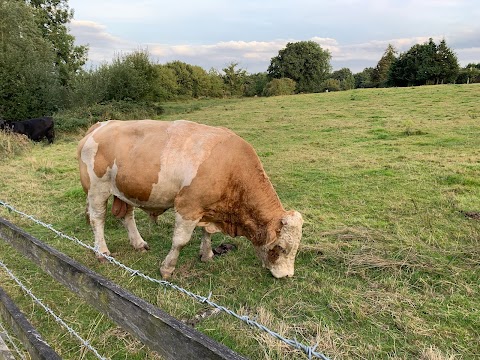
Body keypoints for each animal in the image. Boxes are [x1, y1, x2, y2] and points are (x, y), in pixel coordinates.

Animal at [78, 119, 304, 280]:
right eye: (281, 248)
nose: (287, 275)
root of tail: (100, 125)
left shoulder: (208, 207)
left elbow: (207, 233)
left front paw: (207, 254)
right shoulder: (188, 207)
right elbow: (180, 241)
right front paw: (167, 269)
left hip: (125, 190)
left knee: (126, 216)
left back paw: (139, 243)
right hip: (98, 189)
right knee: (98, 219)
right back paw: (102, 251)